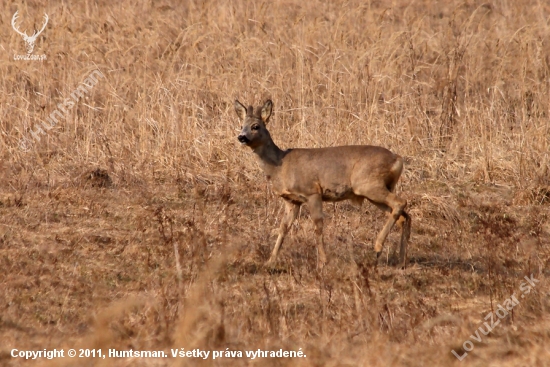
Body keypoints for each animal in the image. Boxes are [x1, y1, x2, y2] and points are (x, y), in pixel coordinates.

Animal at [235, 99, 412, 268]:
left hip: (369, 184)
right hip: (375, 190)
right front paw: (270, 261)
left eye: (256, 126)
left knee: (401, 202)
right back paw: (401, 261)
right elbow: (283, 227)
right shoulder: (292, 200)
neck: (280, 166)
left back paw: (378, 247)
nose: (241, 137)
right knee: (404, 216)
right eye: (241, 126)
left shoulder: (312, 191)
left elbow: (318, 225)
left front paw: (322, 262)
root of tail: (397, 159)